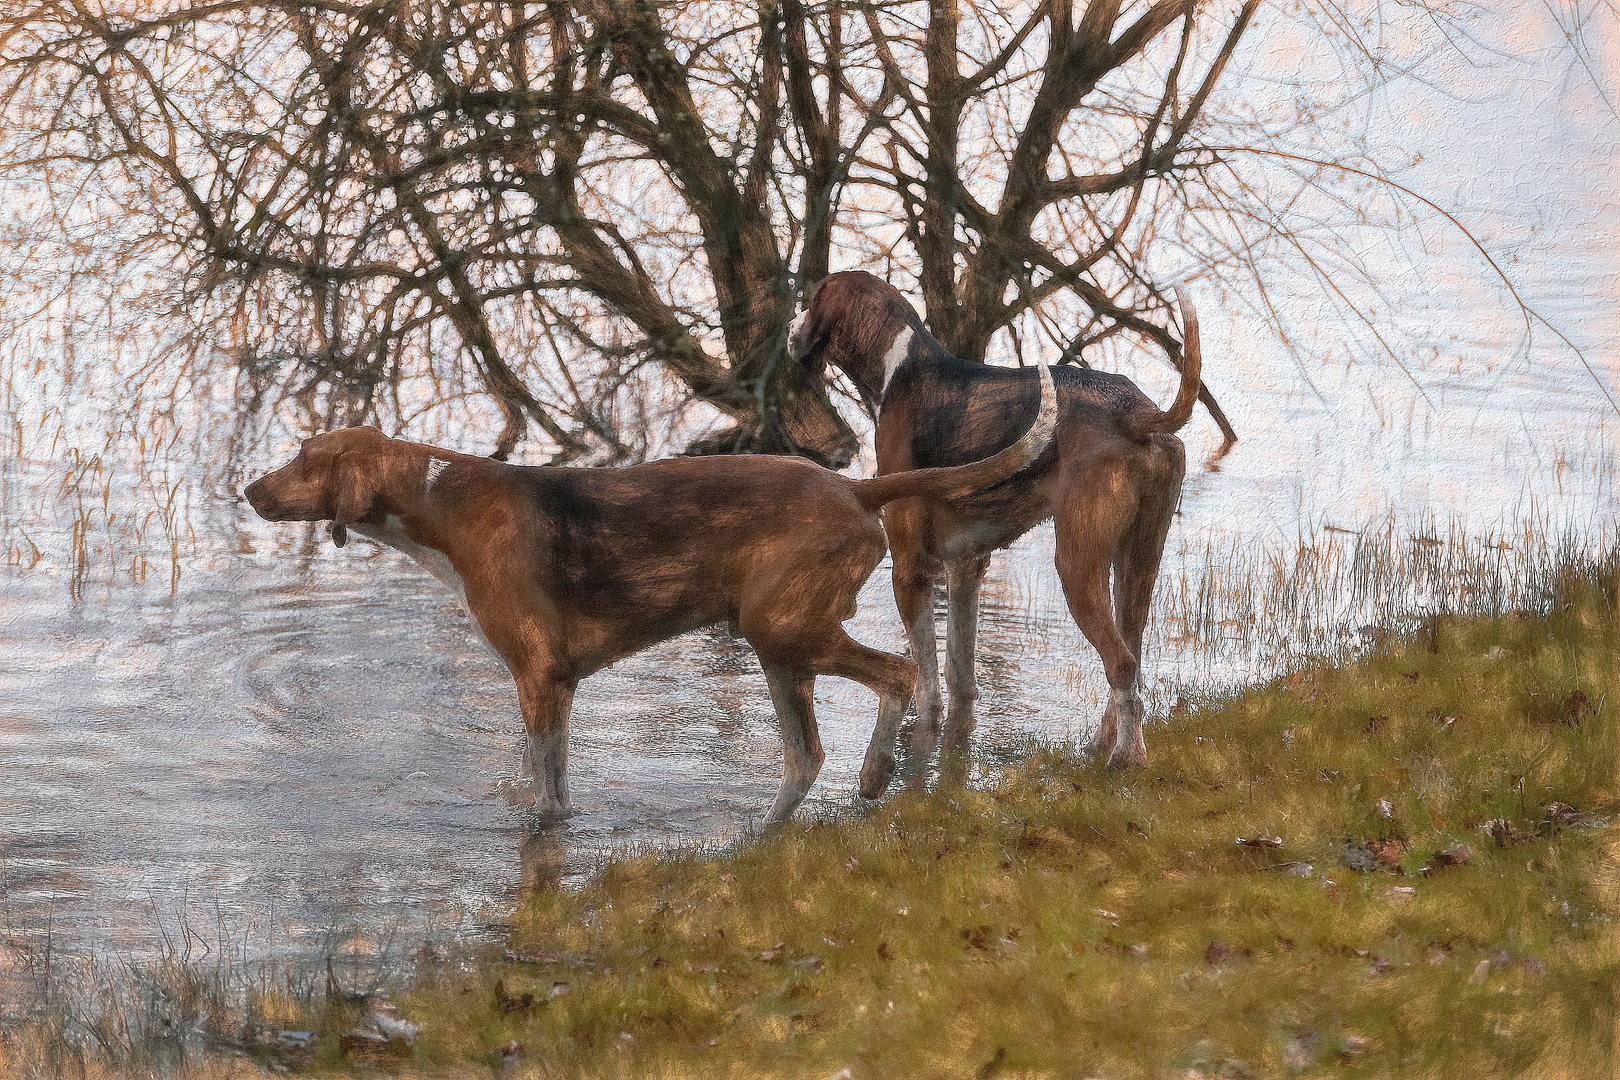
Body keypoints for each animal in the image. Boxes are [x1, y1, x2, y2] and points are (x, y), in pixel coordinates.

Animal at [239, 367, 1049, 822]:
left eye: (303, 458)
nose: (248, 490)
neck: (440, 501)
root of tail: (854, 487)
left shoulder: (542, 678)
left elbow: (549, 792)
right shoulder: (545, 688)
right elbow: (537, 777)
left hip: (784, 631)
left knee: (899, 675)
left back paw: (877, 773)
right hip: (780, 649)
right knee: (805, 758)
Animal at [787, 270, 1205, 777]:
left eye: (811, 301)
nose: (789, 331)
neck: (898, 364)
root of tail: (1137, 412)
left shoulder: (909, 570)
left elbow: (926, 686)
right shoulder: (966, 566)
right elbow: (960, 677)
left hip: (1078, 565)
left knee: (1121, 665)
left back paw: (1127, 758)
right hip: (1138, 562)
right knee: (1132, 658)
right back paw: (1100, 747)